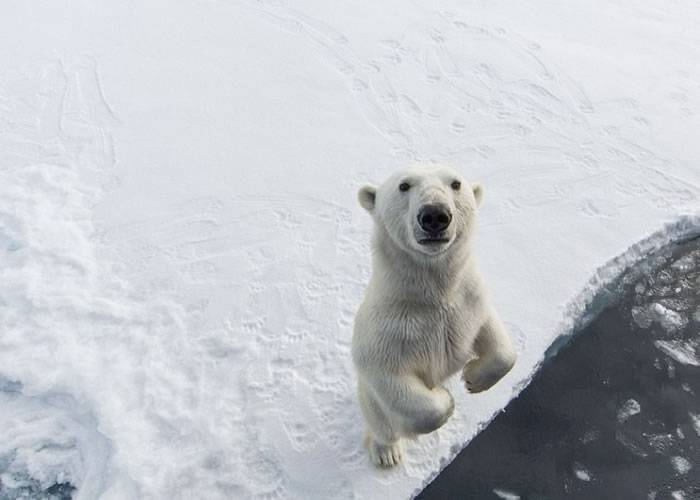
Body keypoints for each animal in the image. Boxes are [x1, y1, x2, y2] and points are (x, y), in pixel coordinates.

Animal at [352, 165, 516, 468]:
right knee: (382, 421)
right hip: (370, 399)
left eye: (456, 183)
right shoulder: (386, 332)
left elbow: (498, 344)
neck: (431, 297)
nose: (434, 216)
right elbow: (393, 382)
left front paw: (472, 378)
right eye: (404, 185)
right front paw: (445, 397)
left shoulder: (467, 303)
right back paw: (387, 452)